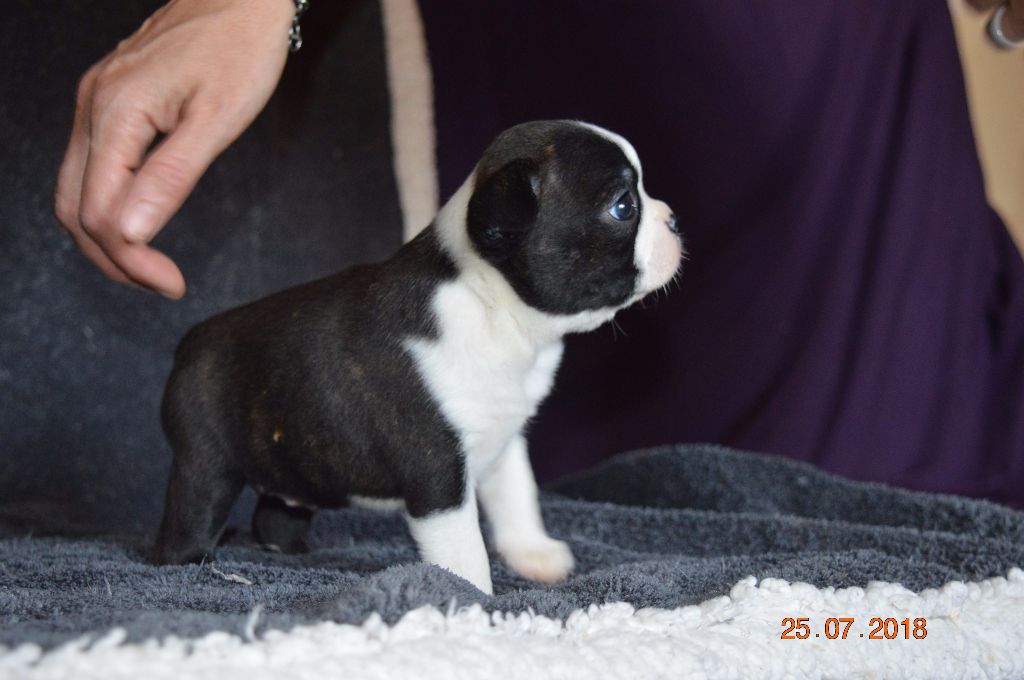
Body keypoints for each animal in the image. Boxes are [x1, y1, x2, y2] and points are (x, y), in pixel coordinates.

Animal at [152, 120, 682, 594]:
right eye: (623, 206)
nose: (674, 218)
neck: (495, 307)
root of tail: (189, 342)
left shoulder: (503, 435)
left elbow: (517, 495)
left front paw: (533, 554)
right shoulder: (437, 468)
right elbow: (463, 546)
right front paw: (472, 597)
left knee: (278, 514)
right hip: (206, 460)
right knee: (192, 513)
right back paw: (192, 563)